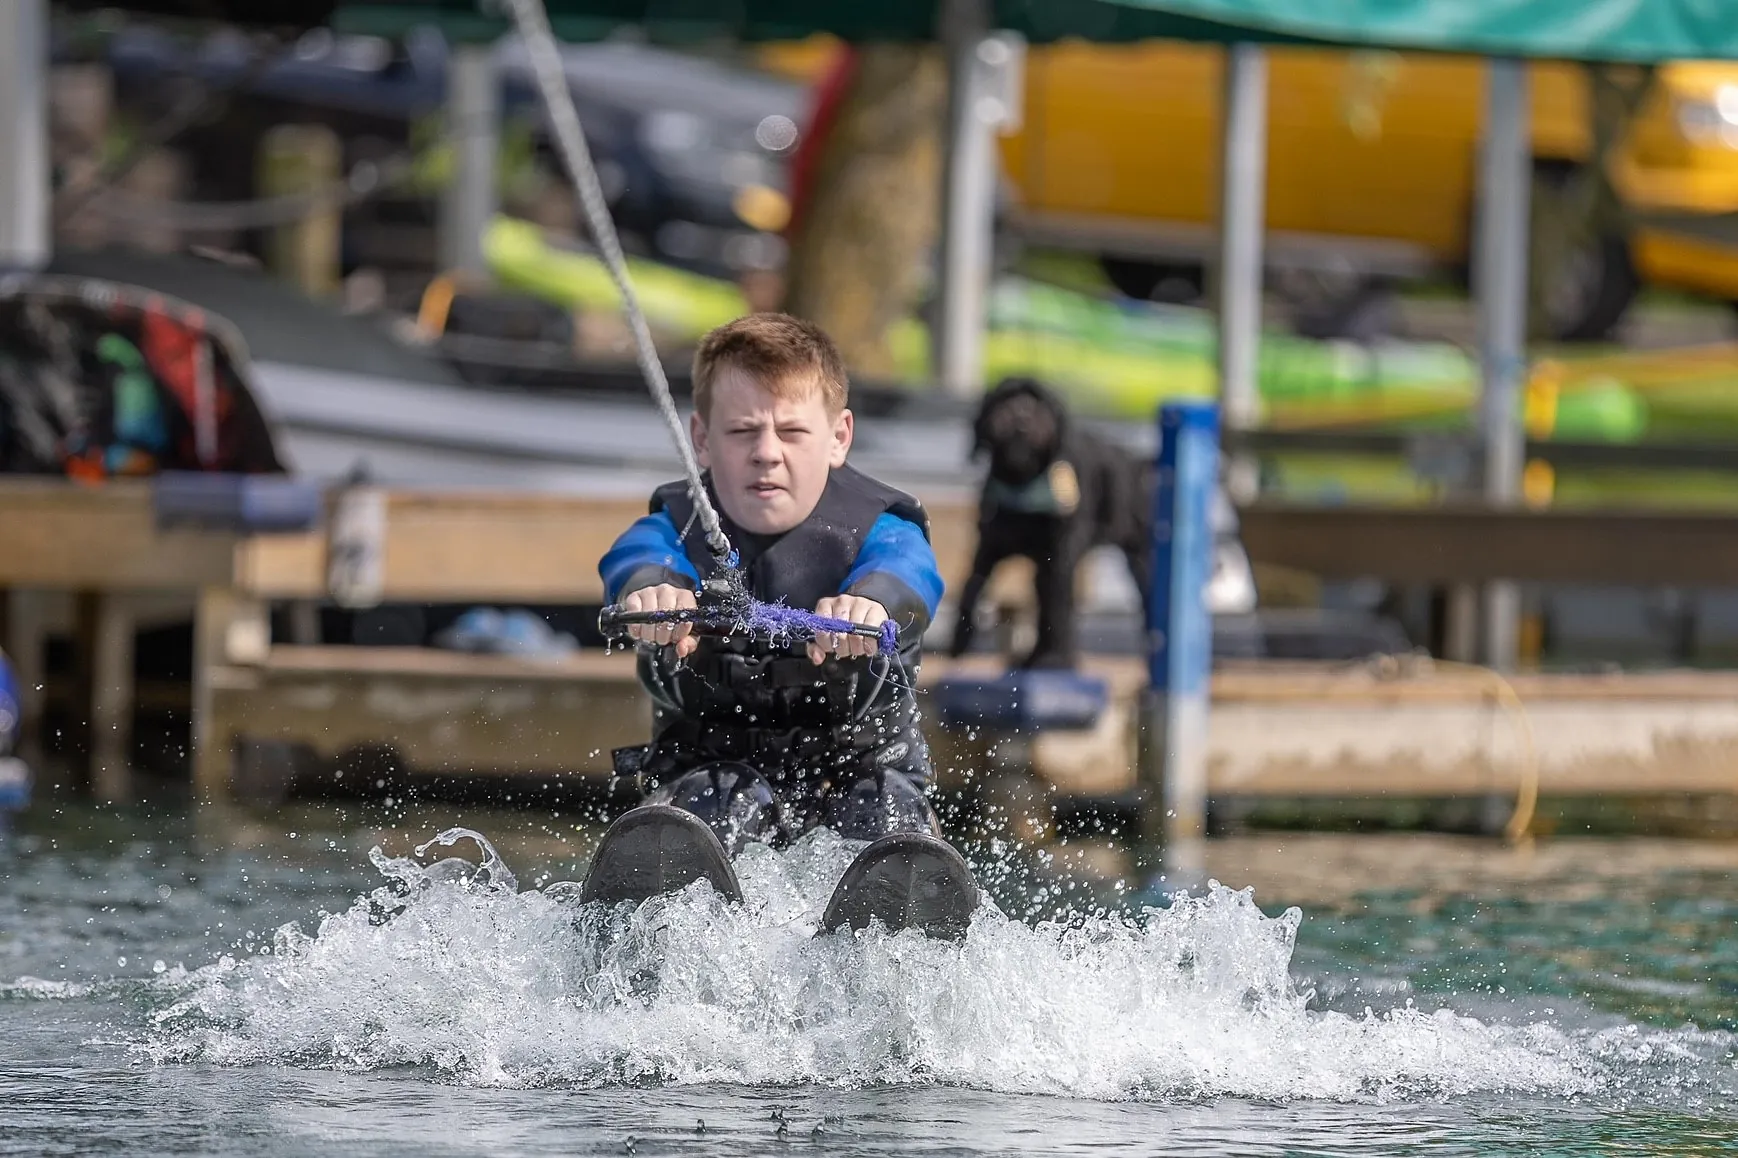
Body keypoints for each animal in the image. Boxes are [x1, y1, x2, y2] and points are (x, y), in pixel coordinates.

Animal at [945, 379, 1147, 667]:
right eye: (1004, 398)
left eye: (1040, 401)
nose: (1021, 410)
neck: (1024, 487)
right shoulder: (989, 546)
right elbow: (971, 585)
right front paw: (959, 639)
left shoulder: (1060, 556)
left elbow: (1057, 608)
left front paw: (1056, 658)